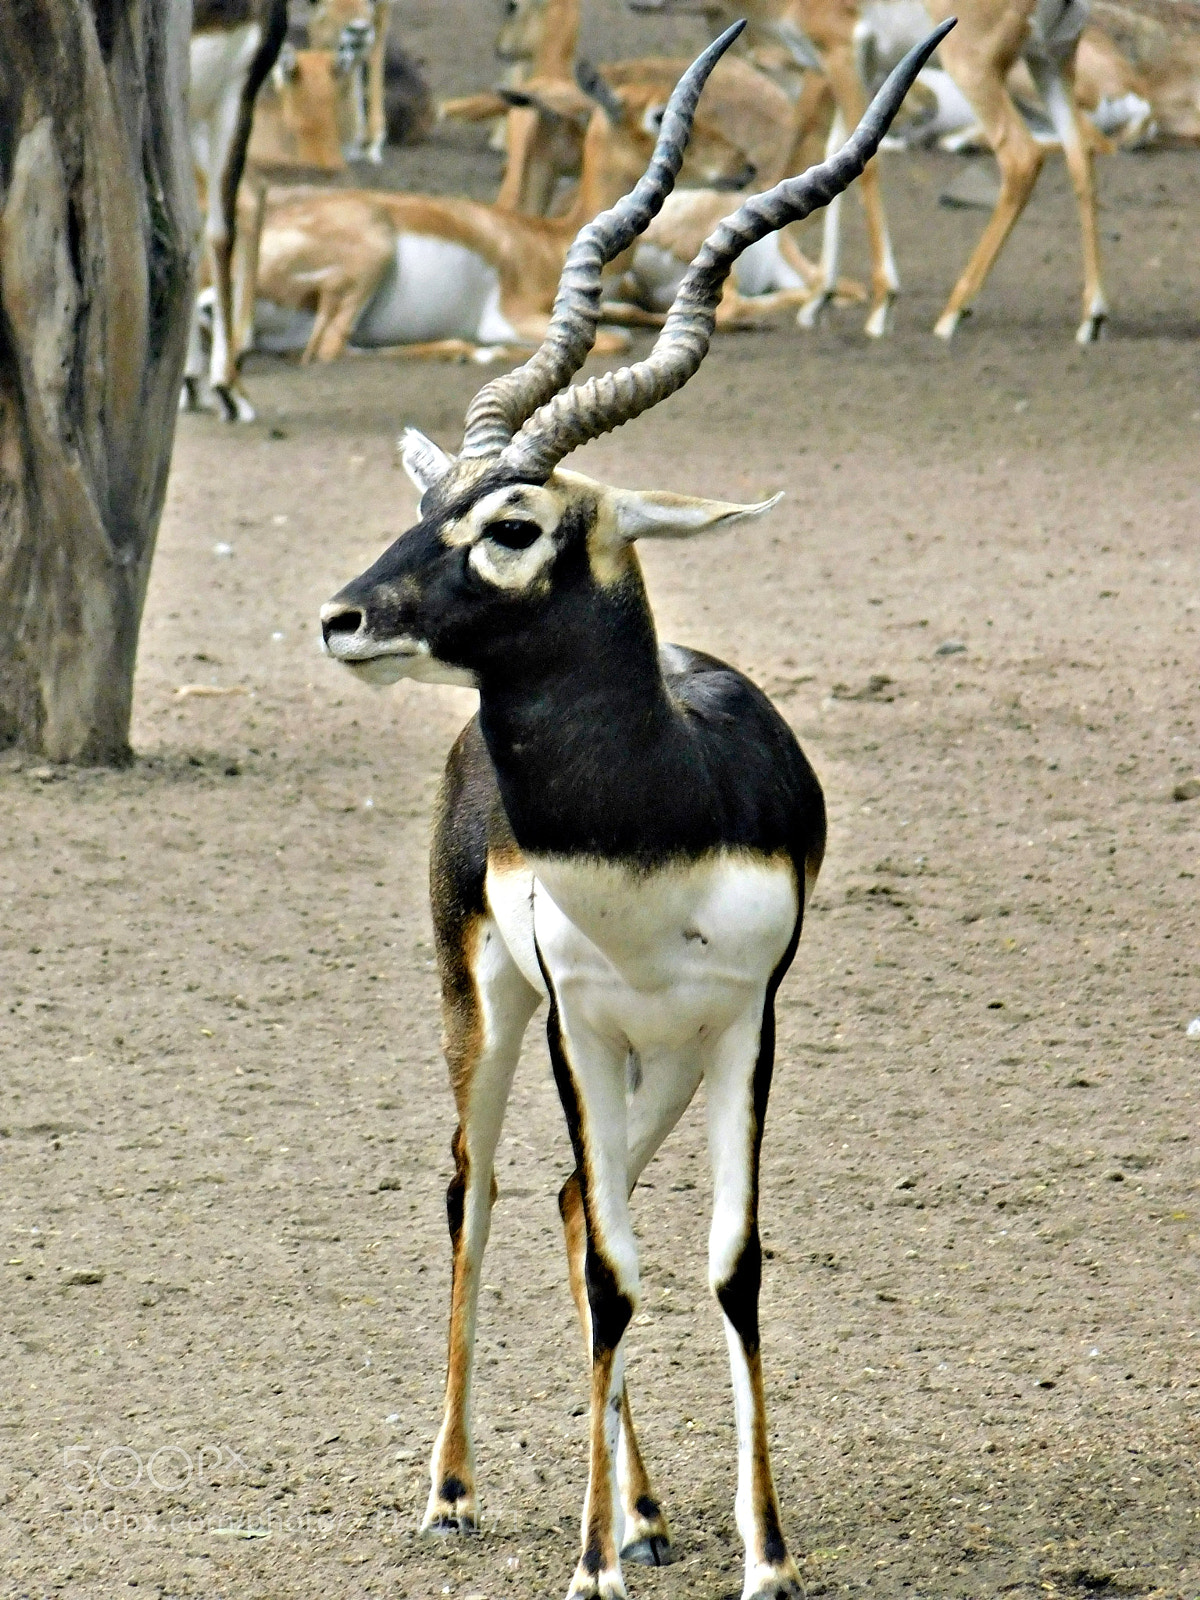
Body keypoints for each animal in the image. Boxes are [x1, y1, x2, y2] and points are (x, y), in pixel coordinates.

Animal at [244, 64, 754, 364]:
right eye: (657, 114)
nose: (744, 166)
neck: (549, 239)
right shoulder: (514, 315)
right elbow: (615, 338)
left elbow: (636, 315)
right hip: (371, 255)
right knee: (328, 350)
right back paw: (473, 350)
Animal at [318, 22, 950, 1600]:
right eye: (433, 502)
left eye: (513, 523)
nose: (345, 617)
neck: (647, 827)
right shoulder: (580, 1023)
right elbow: (615, 1272)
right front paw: (590, 1562)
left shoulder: (742, 1025)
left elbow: (724, 1265)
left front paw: (762, 1552)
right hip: (492, 1010)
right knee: (480, 1189)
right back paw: (459, 1488)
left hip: (661, 1065)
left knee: (559, 1203)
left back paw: (656, 1509)